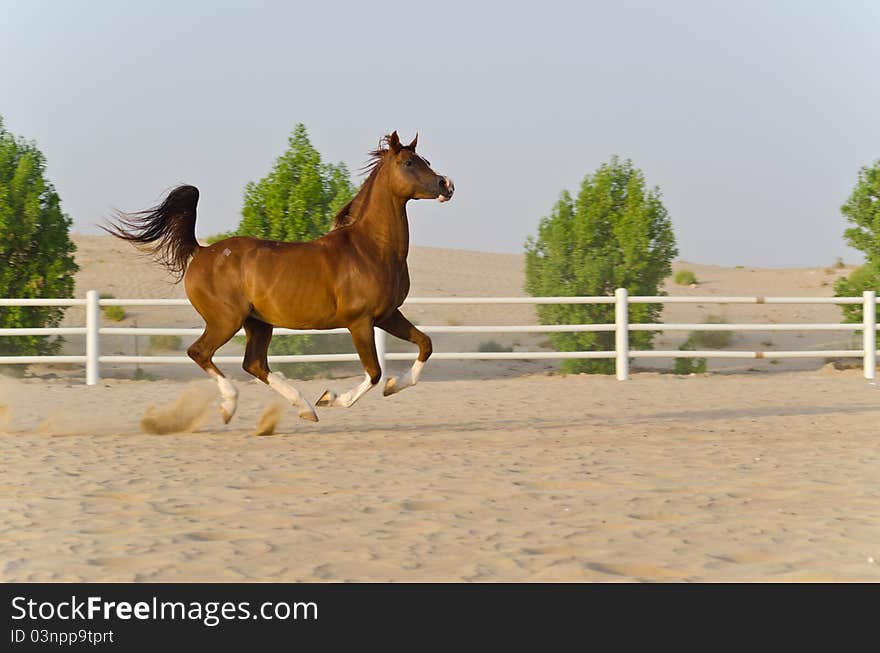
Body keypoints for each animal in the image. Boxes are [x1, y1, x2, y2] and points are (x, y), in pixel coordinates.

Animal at [105, 131, 454, 422]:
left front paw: (394, 385)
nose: (446, 185)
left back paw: (305, 408)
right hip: (225, 320)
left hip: (258, 323)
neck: (370, 249)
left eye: (427, 161)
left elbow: (425, 345)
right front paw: (332, 397)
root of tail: (201, 252)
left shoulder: (387, 314)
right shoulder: (360, 321)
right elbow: (373, 372)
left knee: (254, 364)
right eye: (409, 162)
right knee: (200, 353)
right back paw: (232, 405)